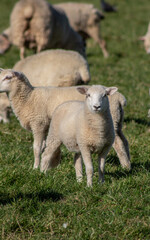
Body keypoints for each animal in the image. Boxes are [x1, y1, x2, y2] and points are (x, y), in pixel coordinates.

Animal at [0, 69, 130, 171]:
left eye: (8, 77)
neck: (28, 98)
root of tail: (120, 98)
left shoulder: (38, 123)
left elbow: (36, 148)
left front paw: (35, 167)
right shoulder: (46, 127)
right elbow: (43, 147)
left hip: (109, 123)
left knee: (118, 143)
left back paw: (125, 166)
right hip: (117, 122)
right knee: (125, 141)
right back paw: (129, 163)